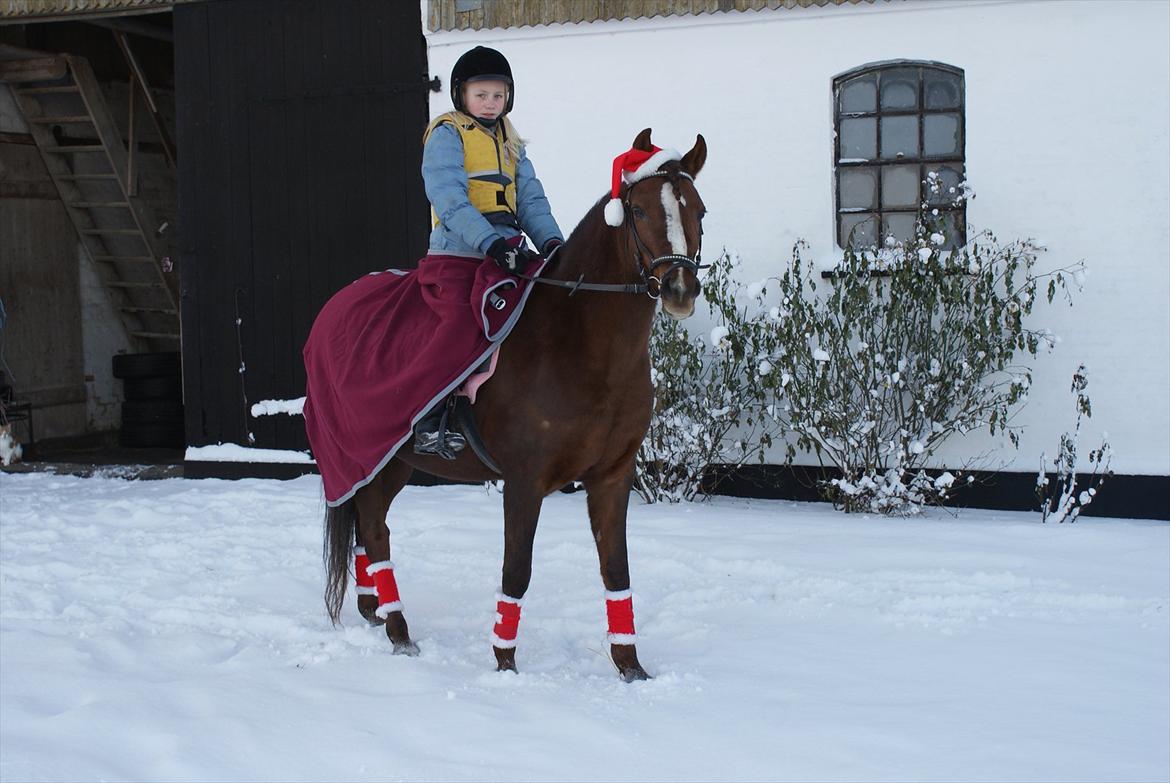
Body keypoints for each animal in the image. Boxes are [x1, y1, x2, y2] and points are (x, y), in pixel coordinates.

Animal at [322, 128, 702, 678]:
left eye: (699, 210)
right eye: (639, 210)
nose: (678, 288)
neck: (578, 344)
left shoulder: (613, 477)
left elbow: (616, 569)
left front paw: (630, 666)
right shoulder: (524, 481)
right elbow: (517, 570)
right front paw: (505, 664)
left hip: (385, 462)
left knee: (373, 530)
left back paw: (375, 608)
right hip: (369, 457)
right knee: (372, 528)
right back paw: (400, 632)